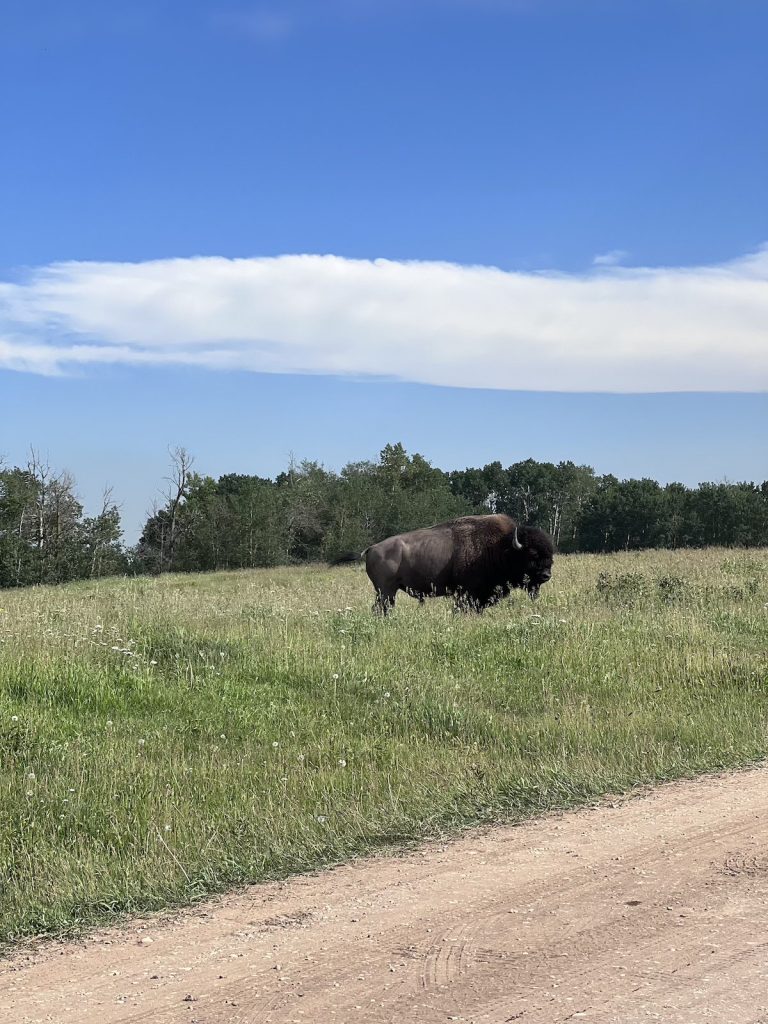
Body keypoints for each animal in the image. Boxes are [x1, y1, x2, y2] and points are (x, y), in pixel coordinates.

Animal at [335, 514, 554, 614]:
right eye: (532, 554)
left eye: (550, 554)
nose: (546, 575)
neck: (501, 546)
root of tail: (371, 548)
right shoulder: (467, 593)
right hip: (386, 591)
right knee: (382, 608)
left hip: (386, 591)